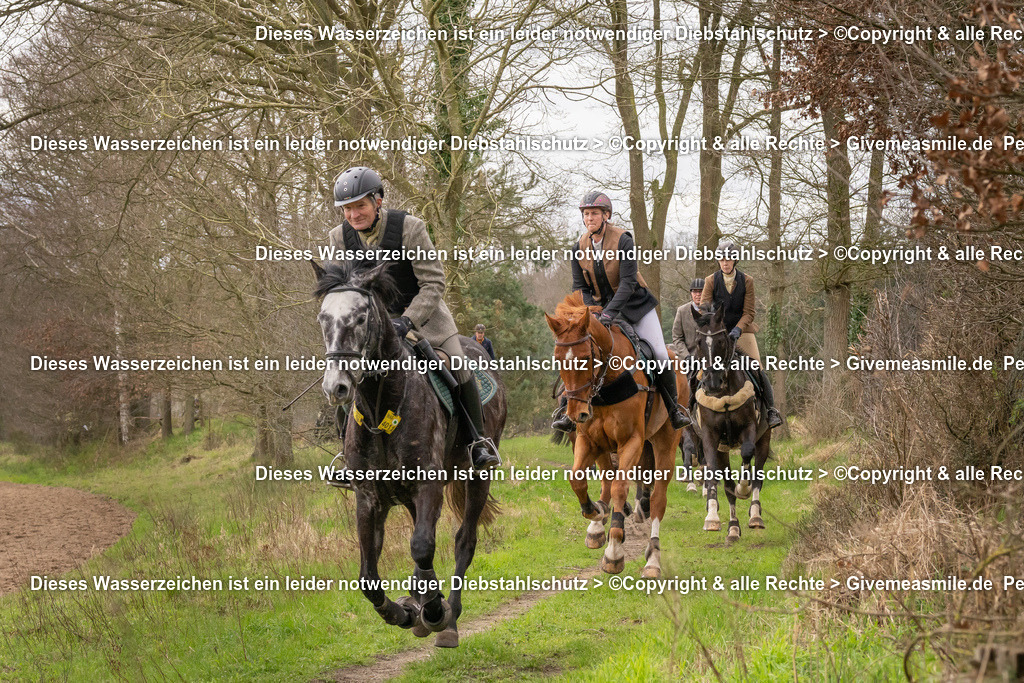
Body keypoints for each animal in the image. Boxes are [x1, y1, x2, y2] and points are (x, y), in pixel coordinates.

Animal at [311, 260, 503, 647]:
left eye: (360, 317)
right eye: (323, 318)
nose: (336, 387)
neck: (380, 404)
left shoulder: (428, 484)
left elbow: (423, 547)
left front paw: (433, 611)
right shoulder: (370, 497)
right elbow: (369, 577)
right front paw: (402, 612)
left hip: (478, 476)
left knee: (464, 540)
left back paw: (449, 617)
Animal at [548, 290, 684, 581]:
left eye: (585, 359)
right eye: (557, 359)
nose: (576, 413)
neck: (606, 384)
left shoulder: (630, 441)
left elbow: (621, 486)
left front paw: (614, 549)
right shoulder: (589, 440)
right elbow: (579, 479)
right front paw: (596, 513)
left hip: (666, 442)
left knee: (658, 499)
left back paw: (652, 559)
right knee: (608, 479)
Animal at [688, 305, 770, 540]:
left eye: (722, 341)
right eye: (699, 341)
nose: (712, 383)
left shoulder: (749, 428)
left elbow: (747, 453)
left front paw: (744, 488)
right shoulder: (710, 436)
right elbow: (714, 473)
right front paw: (712, 517)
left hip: (764, 438)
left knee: (757, 475)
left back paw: (755, 515)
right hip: (722, 449)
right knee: (727, 484)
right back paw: (733, 527)